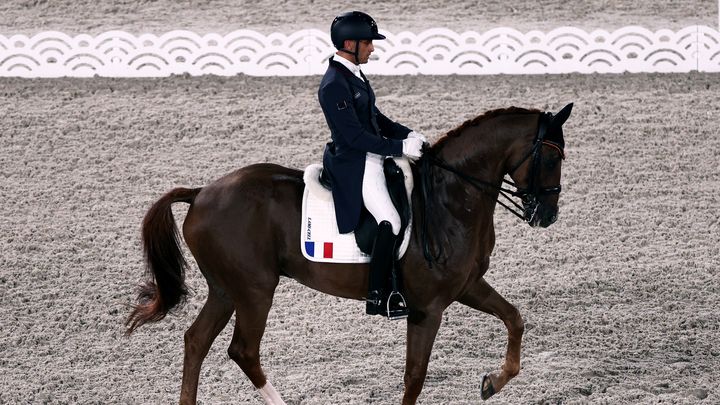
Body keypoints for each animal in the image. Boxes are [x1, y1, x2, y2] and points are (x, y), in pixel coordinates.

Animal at [125, 102, 572, 402]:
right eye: (552, 157)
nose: (548, 215)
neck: (451, 197)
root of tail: (201, 193)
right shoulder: (427, 308)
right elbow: (415, 376)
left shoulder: (467, 286)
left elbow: (514, 318)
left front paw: (492, 382)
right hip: (254, 291)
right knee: (243, 351)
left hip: (225, 290)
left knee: (196, 341)